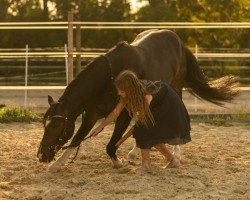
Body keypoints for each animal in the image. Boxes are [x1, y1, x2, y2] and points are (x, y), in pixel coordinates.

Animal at [37, 28, 238, 169]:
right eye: (45, 124)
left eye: (55, 126)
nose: (41, 155)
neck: (110, 76)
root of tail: (179, 42)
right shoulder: (92, 113)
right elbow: (77, 138)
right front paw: (57, 164)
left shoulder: (123, 112)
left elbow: (112, 143)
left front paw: (118, 162)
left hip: (176, 86)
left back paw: (174, 152)